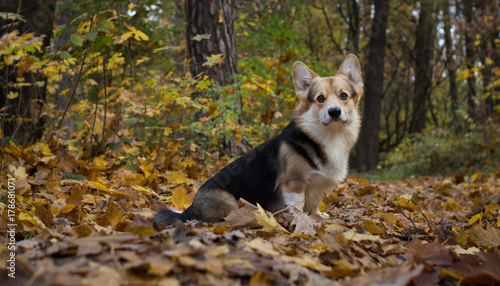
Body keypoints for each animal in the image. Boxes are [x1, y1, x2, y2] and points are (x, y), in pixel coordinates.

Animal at [156, 54, 364, 226]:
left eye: (343, 95)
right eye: (320, 99)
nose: (334, 111)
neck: (330, 136)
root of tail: (190, 208)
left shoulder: (317, 187)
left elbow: (314, 206)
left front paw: (318, 217)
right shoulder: (293, 184)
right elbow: (297, 207)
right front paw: (303, 221)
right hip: (229, 202)